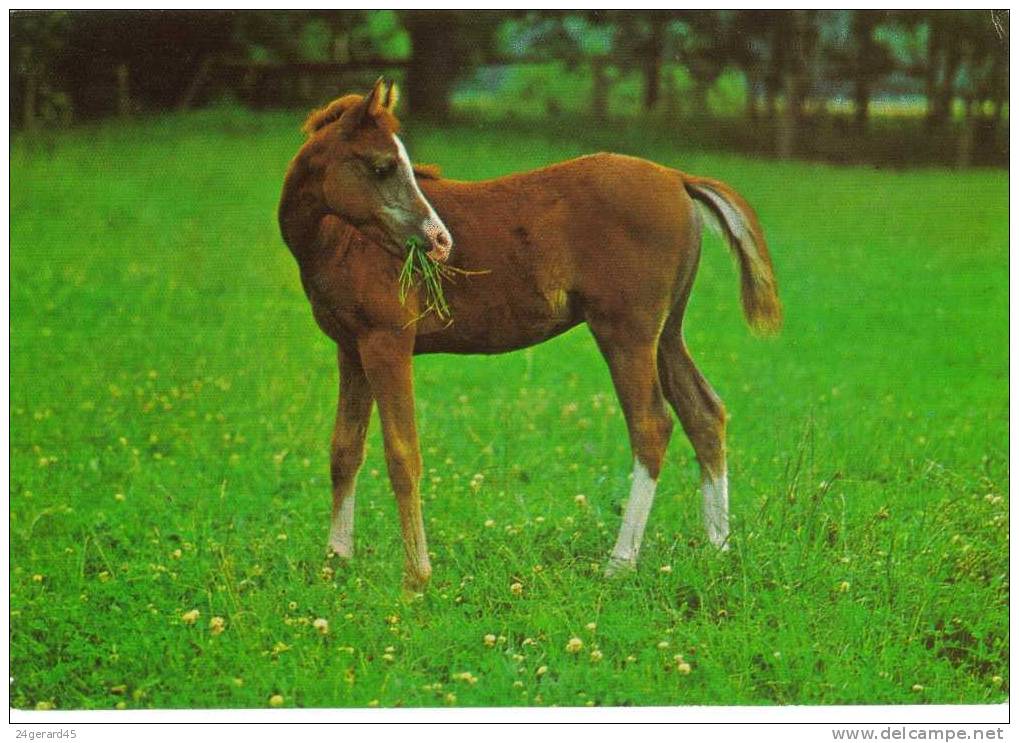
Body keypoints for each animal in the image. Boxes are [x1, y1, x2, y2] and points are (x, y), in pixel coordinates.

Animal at [279, 79, 778, 591]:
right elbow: (344, 450)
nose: (440, 242)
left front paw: (417, 575)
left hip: (626, 333)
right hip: (666, 334)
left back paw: (620, 562)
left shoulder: (388, 343)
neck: (338, 239)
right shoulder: (351, 349)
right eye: (382, 166)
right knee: (705, 414)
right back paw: (718, 549)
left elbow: (403, 455)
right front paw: (336, 559)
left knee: (651, 426)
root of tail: (678, 177)